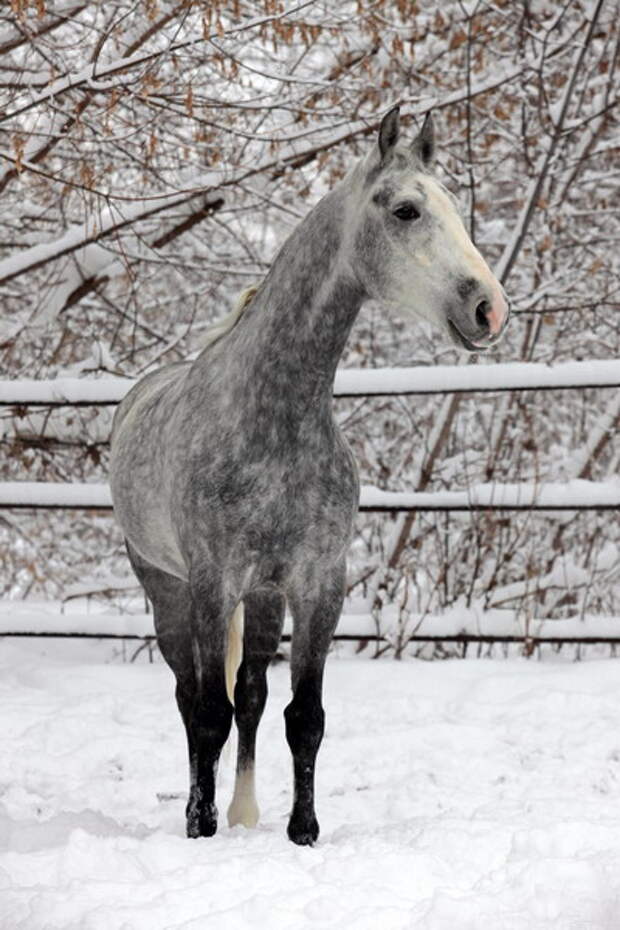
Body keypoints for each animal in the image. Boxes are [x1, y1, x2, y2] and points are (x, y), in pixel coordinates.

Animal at [110, 105, 508, 844]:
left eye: (455, 209)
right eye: (406, 210)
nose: (489, 309)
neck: (273, 421)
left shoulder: (319, 581)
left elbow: (303, 716)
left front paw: (303, 830)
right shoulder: (211, 584)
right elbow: (206, 713)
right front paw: (201, 828)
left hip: (264, 597)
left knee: (251, 696)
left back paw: (245, 812)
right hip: (166, 591)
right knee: (189, 698)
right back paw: (204, 811)